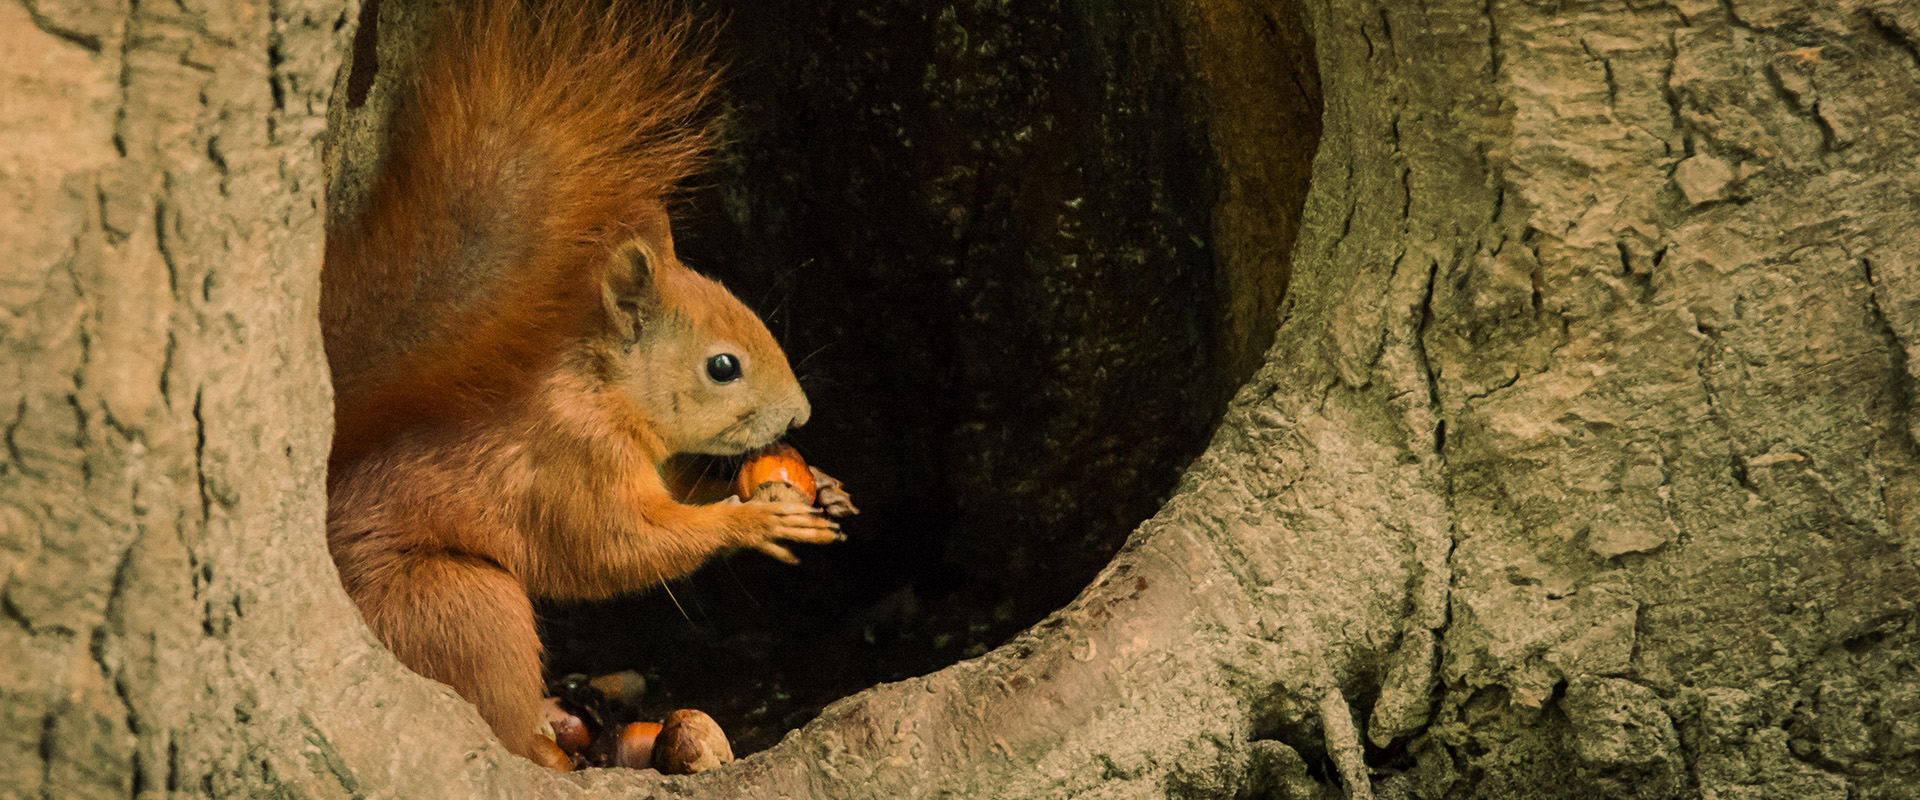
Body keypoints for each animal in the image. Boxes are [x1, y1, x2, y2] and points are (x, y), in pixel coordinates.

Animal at [318, 0, 837, 759]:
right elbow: (621, 548)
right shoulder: (573, 465)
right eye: (722, 367)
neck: (605, 394)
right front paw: (754, 521)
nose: (800, 417)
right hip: (466, 608)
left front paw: (823, 484)